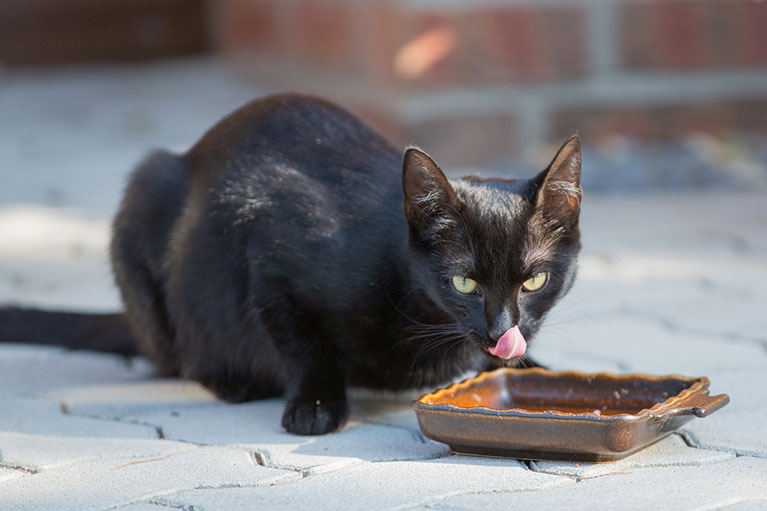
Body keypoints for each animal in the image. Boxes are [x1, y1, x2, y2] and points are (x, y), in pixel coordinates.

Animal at [0, 94, 584, 434]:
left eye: (534, 280)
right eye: (463, 282)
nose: (501, 332)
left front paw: (532, 368)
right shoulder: (269, 253)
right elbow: (302, 342)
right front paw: (316, 403)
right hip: (145, 196)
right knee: (177, 356)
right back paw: (231, 380)